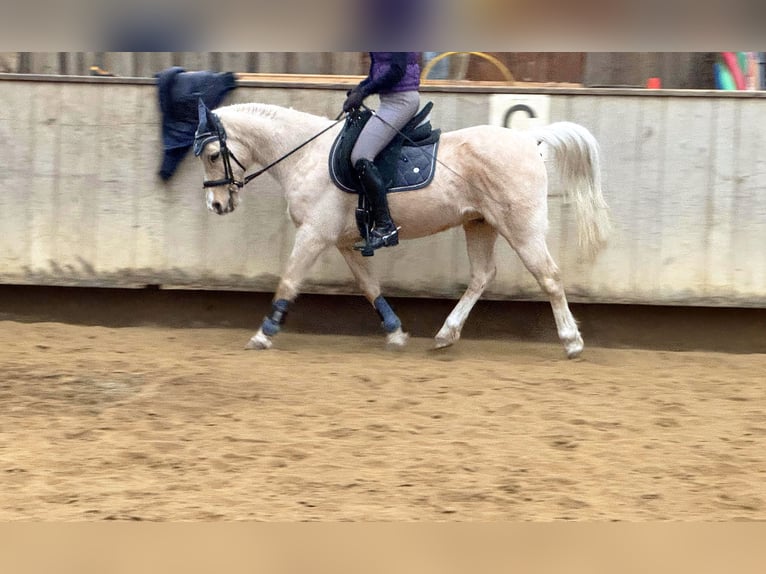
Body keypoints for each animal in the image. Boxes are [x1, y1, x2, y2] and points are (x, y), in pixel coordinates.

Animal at [193, 99, 611, 358]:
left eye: (213, 155)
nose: (217, 205)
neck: (305, 155)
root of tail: (528, 139)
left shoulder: (314, 235)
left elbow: (289, 282)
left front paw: (262, 335)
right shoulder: (343, 243)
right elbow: (369, 286)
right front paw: (395, 332)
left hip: (521, 227)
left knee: (549, 276)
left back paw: (572, 342)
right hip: (480, 224)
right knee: (482, 276)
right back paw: (445, 335)